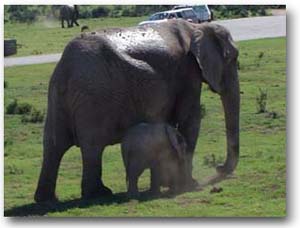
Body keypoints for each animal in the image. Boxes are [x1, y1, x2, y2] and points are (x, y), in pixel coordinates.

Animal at [33, 19, 239, 201]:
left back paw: (46, 199)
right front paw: (189, 185)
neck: (196, 27)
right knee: (92, 146)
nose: (219, 167)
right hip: (93, 97)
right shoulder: (188, 73)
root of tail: (66, 68)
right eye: (232, 58)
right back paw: (99, 194)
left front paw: (170, 184)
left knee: (53, 145)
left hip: (57, 97)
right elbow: (190, 120)